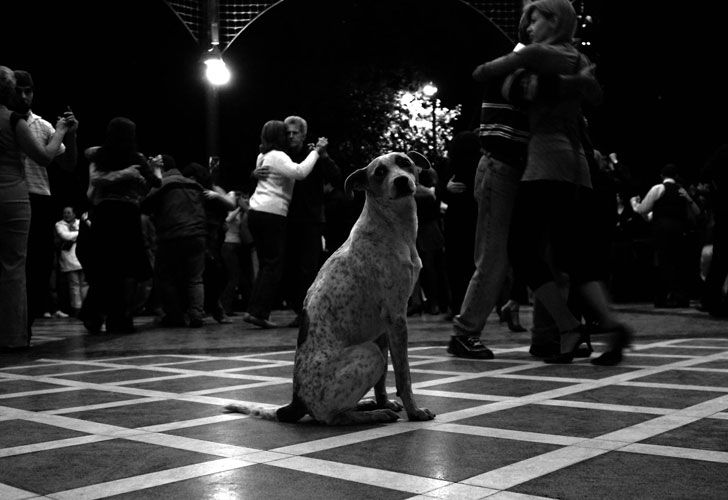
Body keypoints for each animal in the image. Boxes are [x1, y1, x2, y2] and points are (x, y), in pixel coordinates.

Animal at [225, 151, 436, 426]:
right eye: (379, 172)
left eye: (404, 162)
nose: (401, 181)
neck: (391, 227)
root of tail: (295, 403)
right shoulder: (396, 318)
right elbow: (403, 375)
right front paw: (414, 411)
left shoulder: (382, 327)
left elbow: (382, 382)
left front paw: (384, 400)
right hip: (368, 352)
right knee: (330, 417)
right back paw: (372, 414)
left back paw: (369, 405)